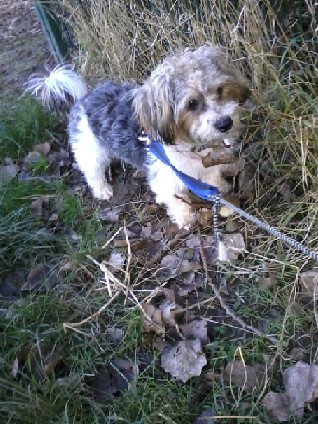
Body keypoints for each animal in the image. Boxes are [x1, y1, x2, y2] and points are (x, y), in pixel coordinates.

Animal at [24, 45, 253, 229]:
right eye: (192, 104)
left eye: (220, 90)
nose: (225, 123)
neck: (191, 145)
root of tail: (83, 98)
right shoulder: (166, 179)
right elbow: (176, 201)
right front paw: (185, 219)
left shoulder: (207, 165)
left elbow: (213, 176)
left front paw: (221, 188)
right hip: (91, 150)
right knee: (92, 171)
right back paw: (102, 189)